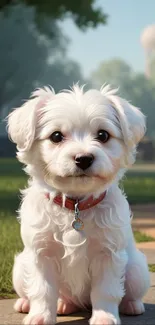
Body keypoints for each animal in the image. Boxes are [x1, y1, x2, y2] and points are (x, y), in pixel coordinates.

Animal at [7, 85, 150, 322]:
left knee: (130, 292)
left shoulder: (108, 254)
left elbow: (106, 291)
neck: (75, 204)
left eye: (103, 135)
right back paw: (42, 303)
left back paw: (132, 305)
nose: (83, 158)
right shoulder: (41, 254)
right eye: (56, 136)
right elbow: (42, 289)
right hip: (20, 267)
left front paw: (104, 318)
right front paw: (41, 316)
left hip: (138, 270)